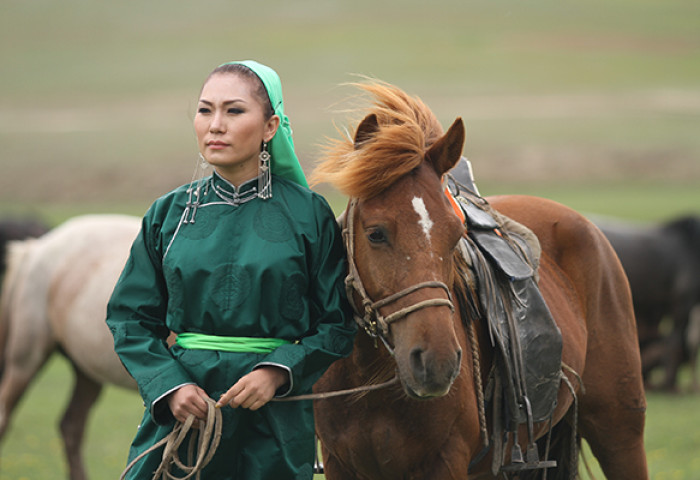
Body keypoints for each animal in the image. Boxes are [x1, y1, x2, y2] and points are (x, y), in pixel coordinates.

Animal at [312, 80, 652, 478]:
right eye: (376, 234)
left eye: (455, 233)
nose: (437, 362)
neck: (370, 382)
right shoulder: (339, 463)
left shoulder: (445, 463)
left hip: (620, 432)